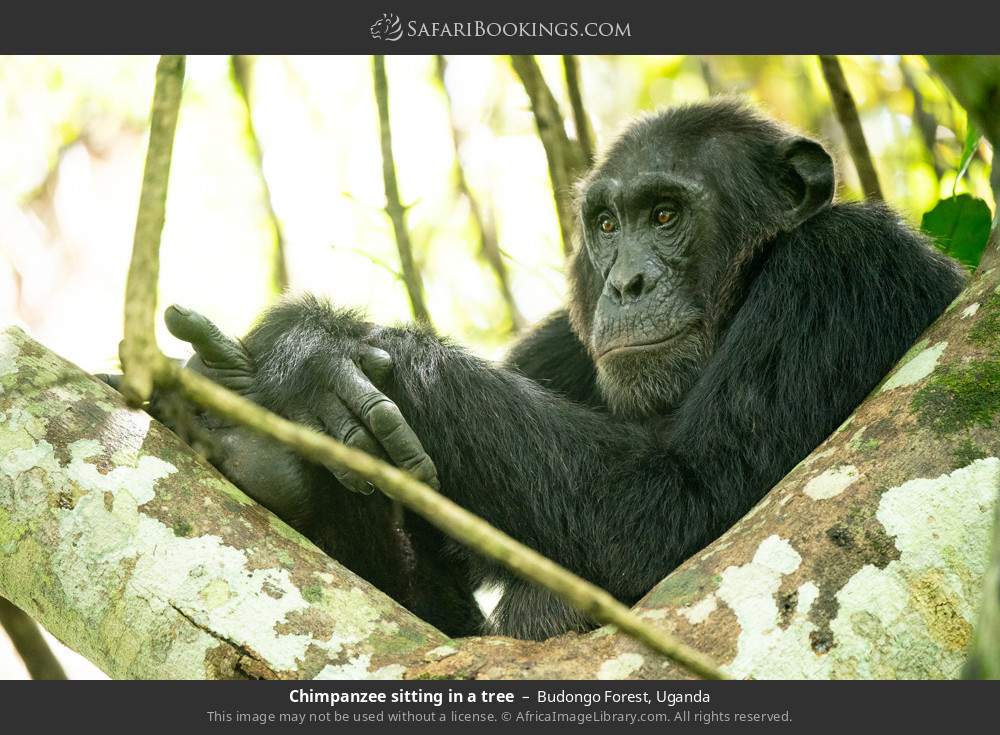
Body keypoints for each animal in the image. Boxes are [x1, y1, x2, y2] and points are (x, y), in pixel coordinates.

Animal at [146, 100, 960, 640]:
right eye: (606, 224)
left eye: (666, 215)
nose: (626, 282)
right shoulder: (558, 345)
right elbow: (428, 627)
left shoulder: (838, 271)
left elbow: (675, 507)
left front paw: (314, 353)